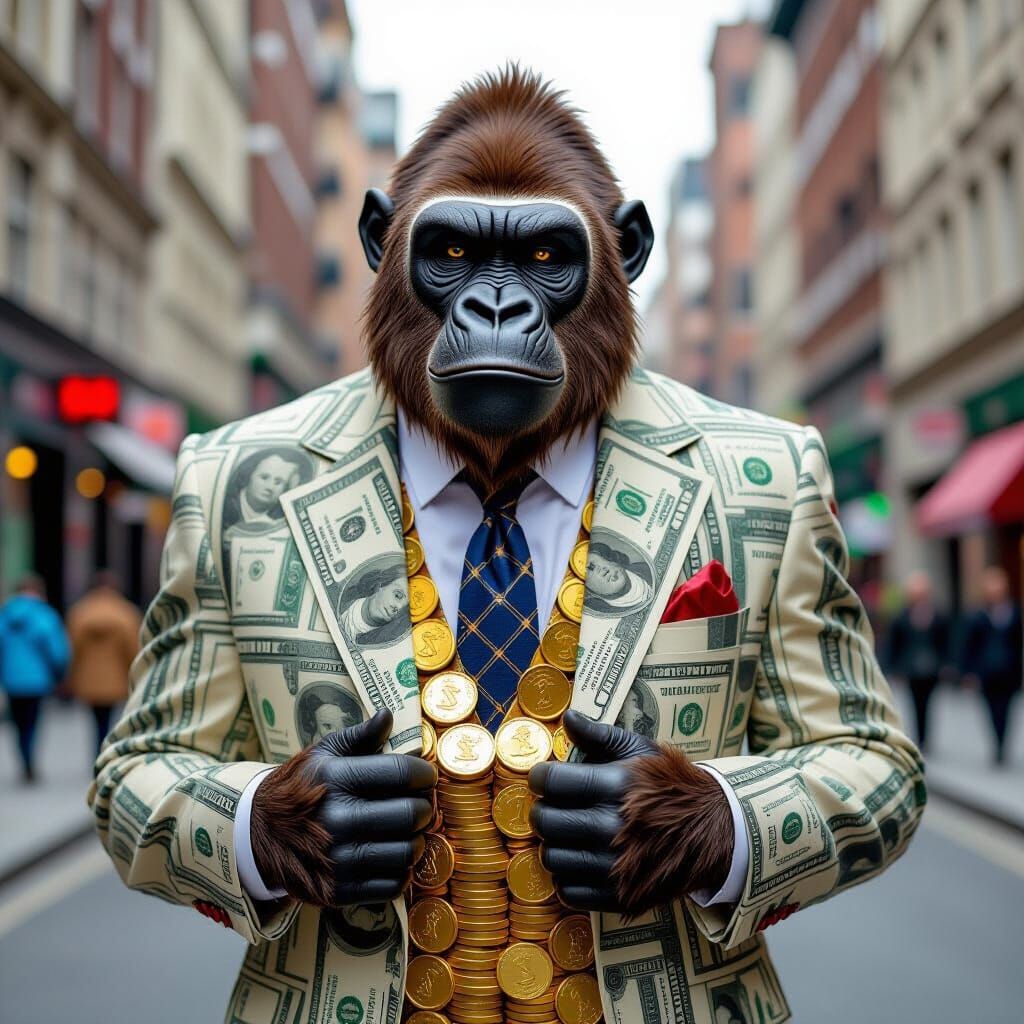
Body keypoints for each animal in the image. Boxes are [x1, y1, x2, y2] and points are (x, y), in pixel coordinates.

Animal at [251, 67, 733, 918]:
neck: (496, 485)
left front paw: (652, 816)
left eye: (545, 253)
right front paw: (317, 816)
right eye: (452, 250)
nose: (497, 308)